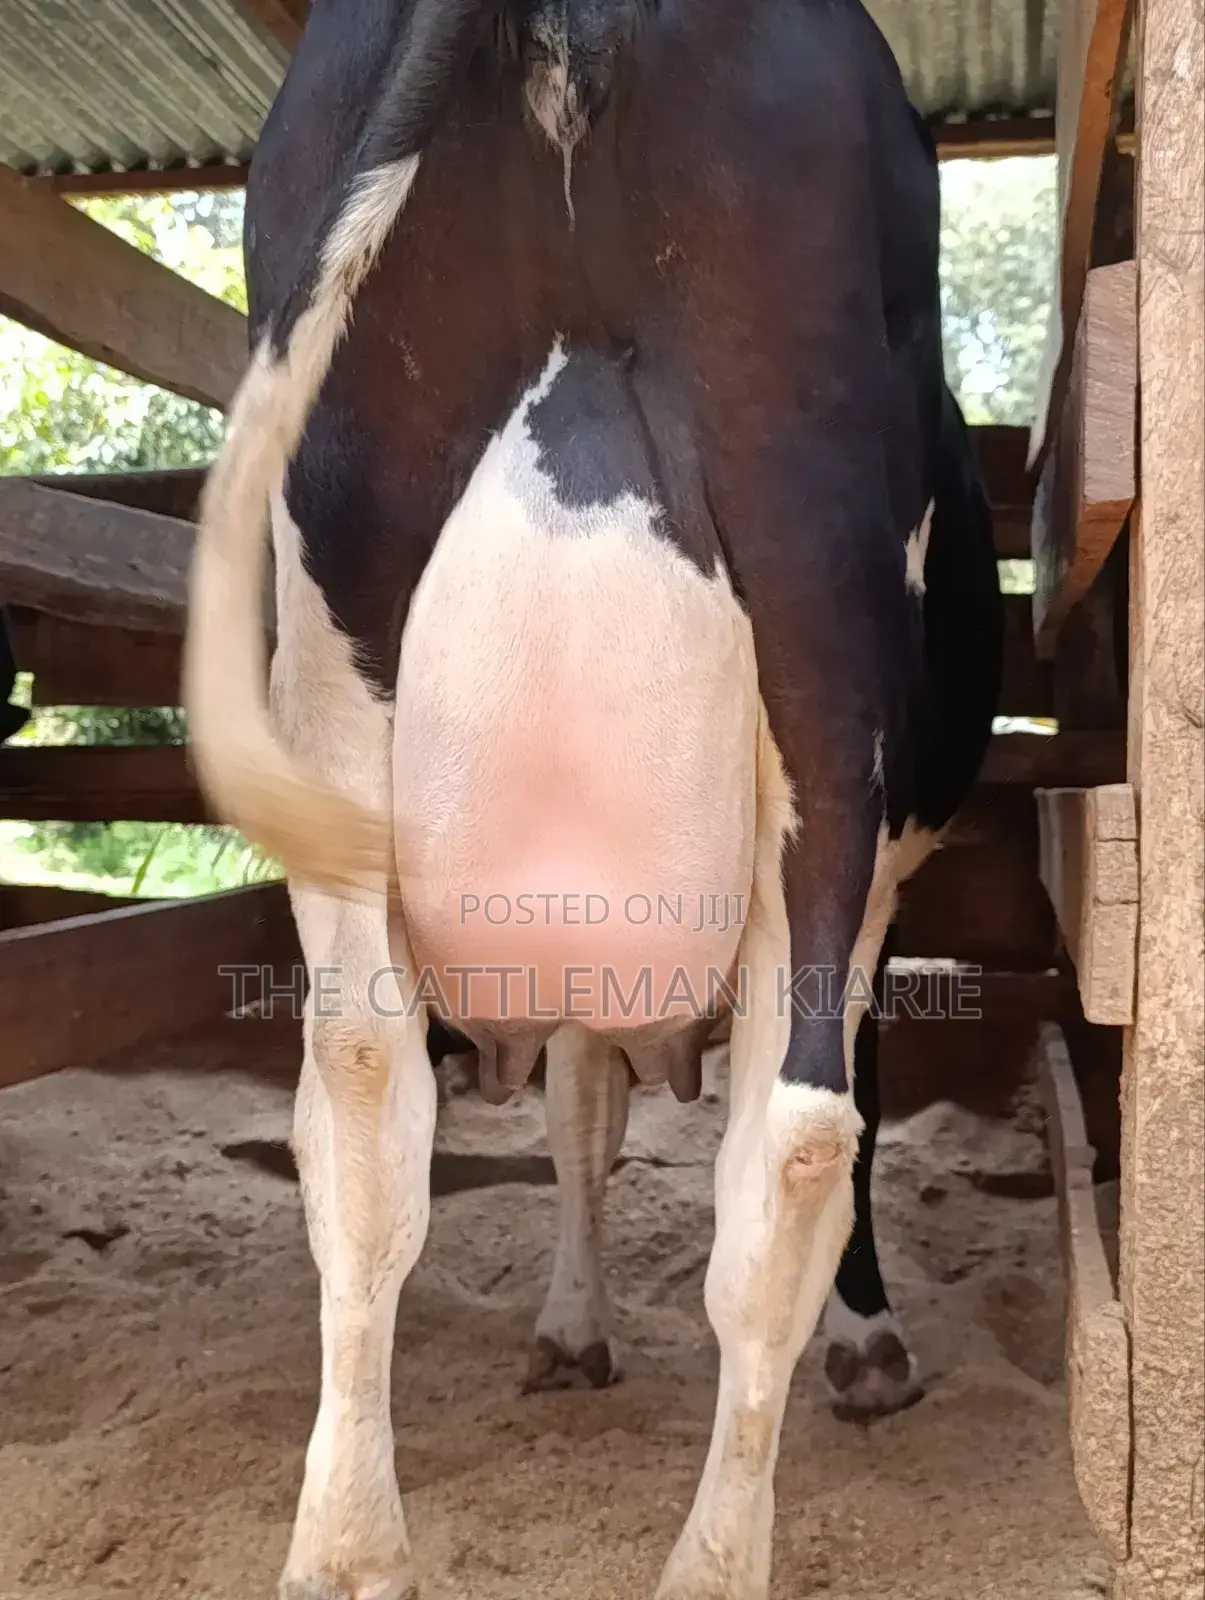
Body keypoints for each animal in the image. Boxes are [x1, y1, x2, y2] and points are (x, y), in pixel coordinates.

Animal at [182, 0, 1002, 1595]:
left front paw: (569, 1327)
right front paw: (860, 1343)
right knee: (798, 1138)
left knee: (360, 1089)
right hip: (825, 627)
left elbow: (573, 1104)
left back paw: (348, 1543)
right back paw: (714, 1557)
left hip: (336, 600)